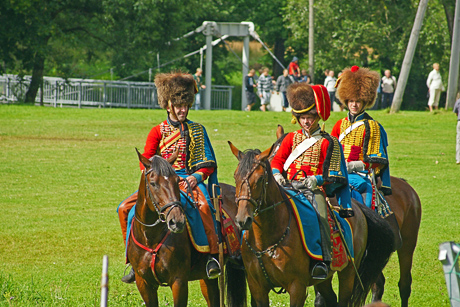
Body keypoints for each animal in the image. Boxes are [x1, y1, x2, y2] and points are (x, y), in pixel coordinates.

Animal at [126, 152, 246, 307]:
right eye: (153, 183)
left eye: (176, 181)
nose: (177, 221)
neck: (151, 238)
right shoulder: (144, 283)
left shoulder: (179, 281)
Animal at [228, 142, 394, 307]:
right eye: (235, 176)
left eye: (261, 178)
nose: (243, 219)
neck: (266, 241)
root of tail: (357, 207)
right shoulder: (257, 288)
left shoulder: (297, 287)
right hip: (324, 280)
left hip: (348, 273)